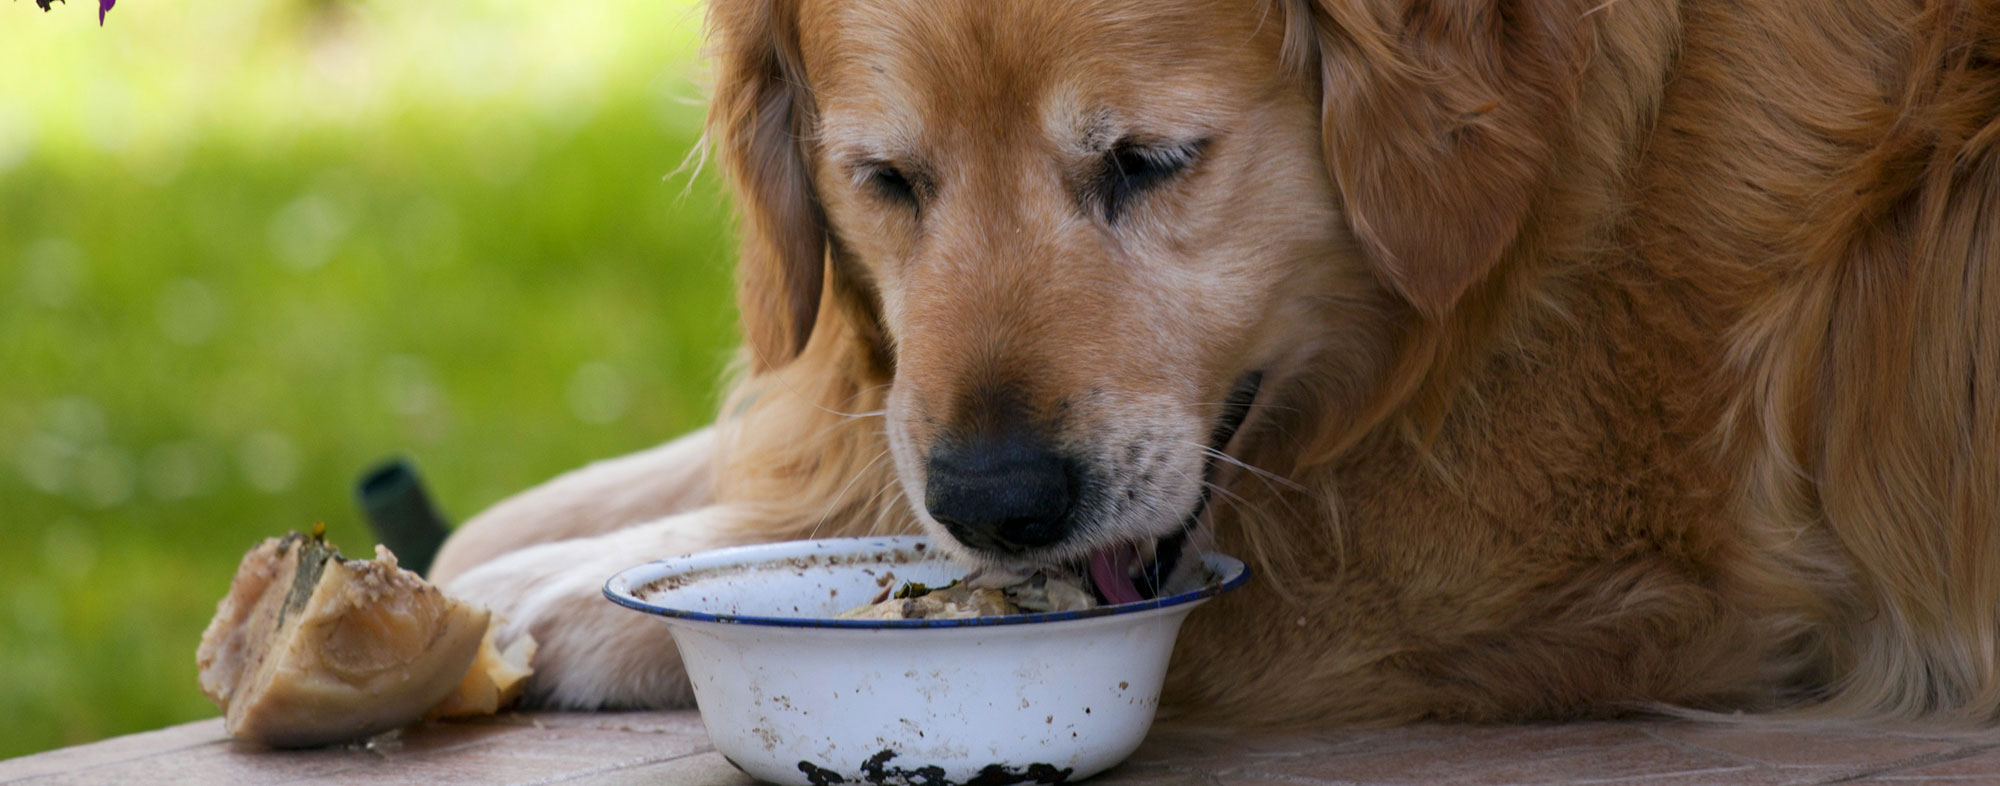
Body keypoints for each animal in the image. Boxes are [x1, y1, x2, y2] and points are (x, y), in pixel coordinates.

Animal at [434, 0, 2000, 724]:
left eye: (1147, 161)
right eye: (886, 181)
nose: (1000, 500)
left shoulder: (1546, 562)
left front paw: (563, 598)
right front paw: (487, 552)